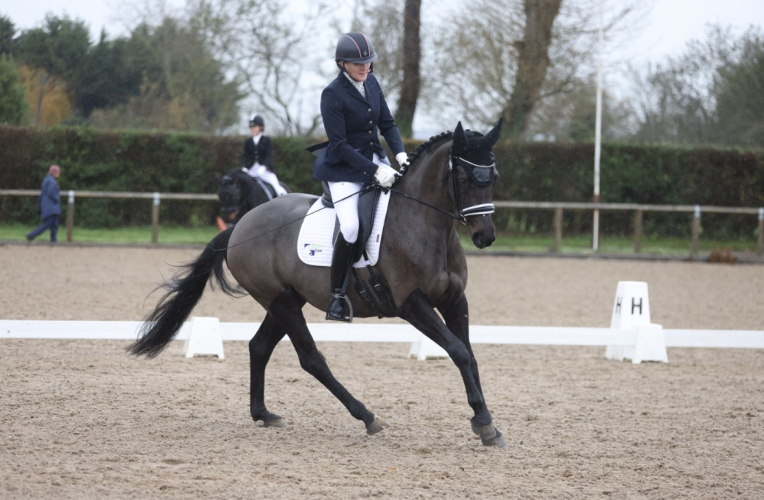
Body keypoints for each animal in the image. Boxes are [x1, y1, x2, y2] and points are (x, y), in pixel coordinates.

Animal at [130, 118, 507, 448]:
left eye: (493, 176)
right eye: (464, 176)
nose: (485, 236)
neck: (425, 224)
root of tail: (240, 227)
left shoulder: (455, 300)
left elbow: (470, 355)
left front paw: (487, 422)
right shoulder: (411, 303)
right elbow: (458, 351)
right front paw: (483, 424)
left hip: (286, 301)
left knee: (259, 347)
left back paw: (264, 414)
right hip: (281, 301)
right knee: (311, 358)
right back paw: (367, 417)